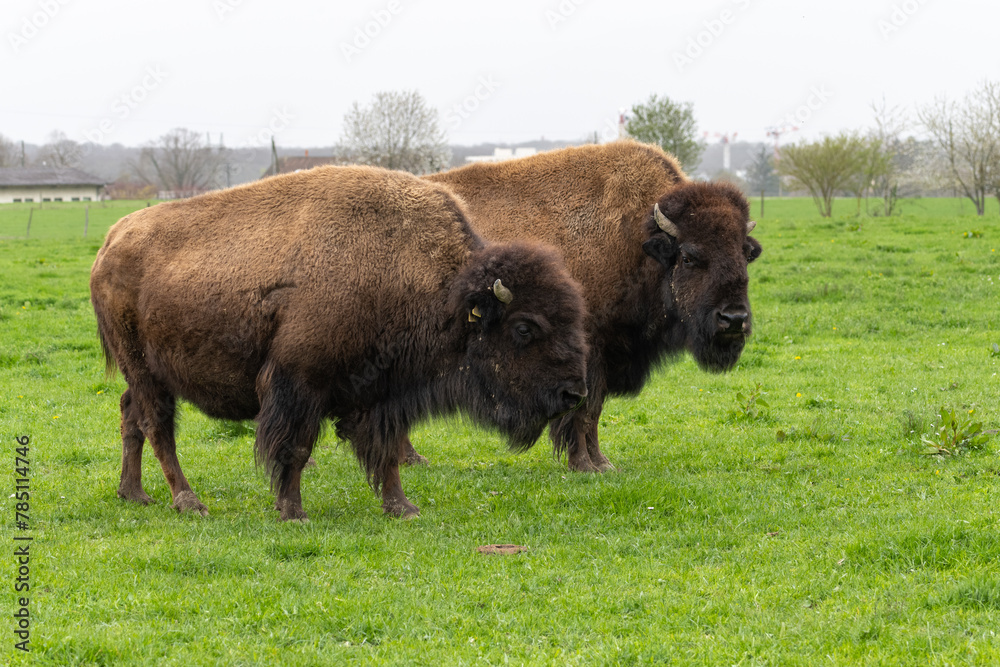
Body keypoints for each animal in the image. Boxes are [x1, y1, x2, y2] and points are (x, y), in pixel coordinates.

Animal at [90, 164, 588, 520]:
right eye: (525, 328)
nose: (574, 393)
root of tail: (110, 241)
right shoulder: (300, 383)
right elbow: (295, 447)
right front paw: (292, 512)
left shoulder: (384, 394)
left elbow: (387, 452)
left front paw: (402, 508)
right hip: (145, 370)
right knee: (157, 426)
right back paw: (189, 501)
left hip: (144, 375)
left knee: (130, 415)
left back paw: (133, 494)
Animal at [402, 141, 760, 472]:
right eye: (687, 256)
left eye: (745, 254)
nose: (733, 319)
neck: (636, 236)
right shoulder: (587, 354)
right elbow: (584, 408)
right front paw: (586, 465)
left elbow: (594, 410)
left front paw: (601, 463)